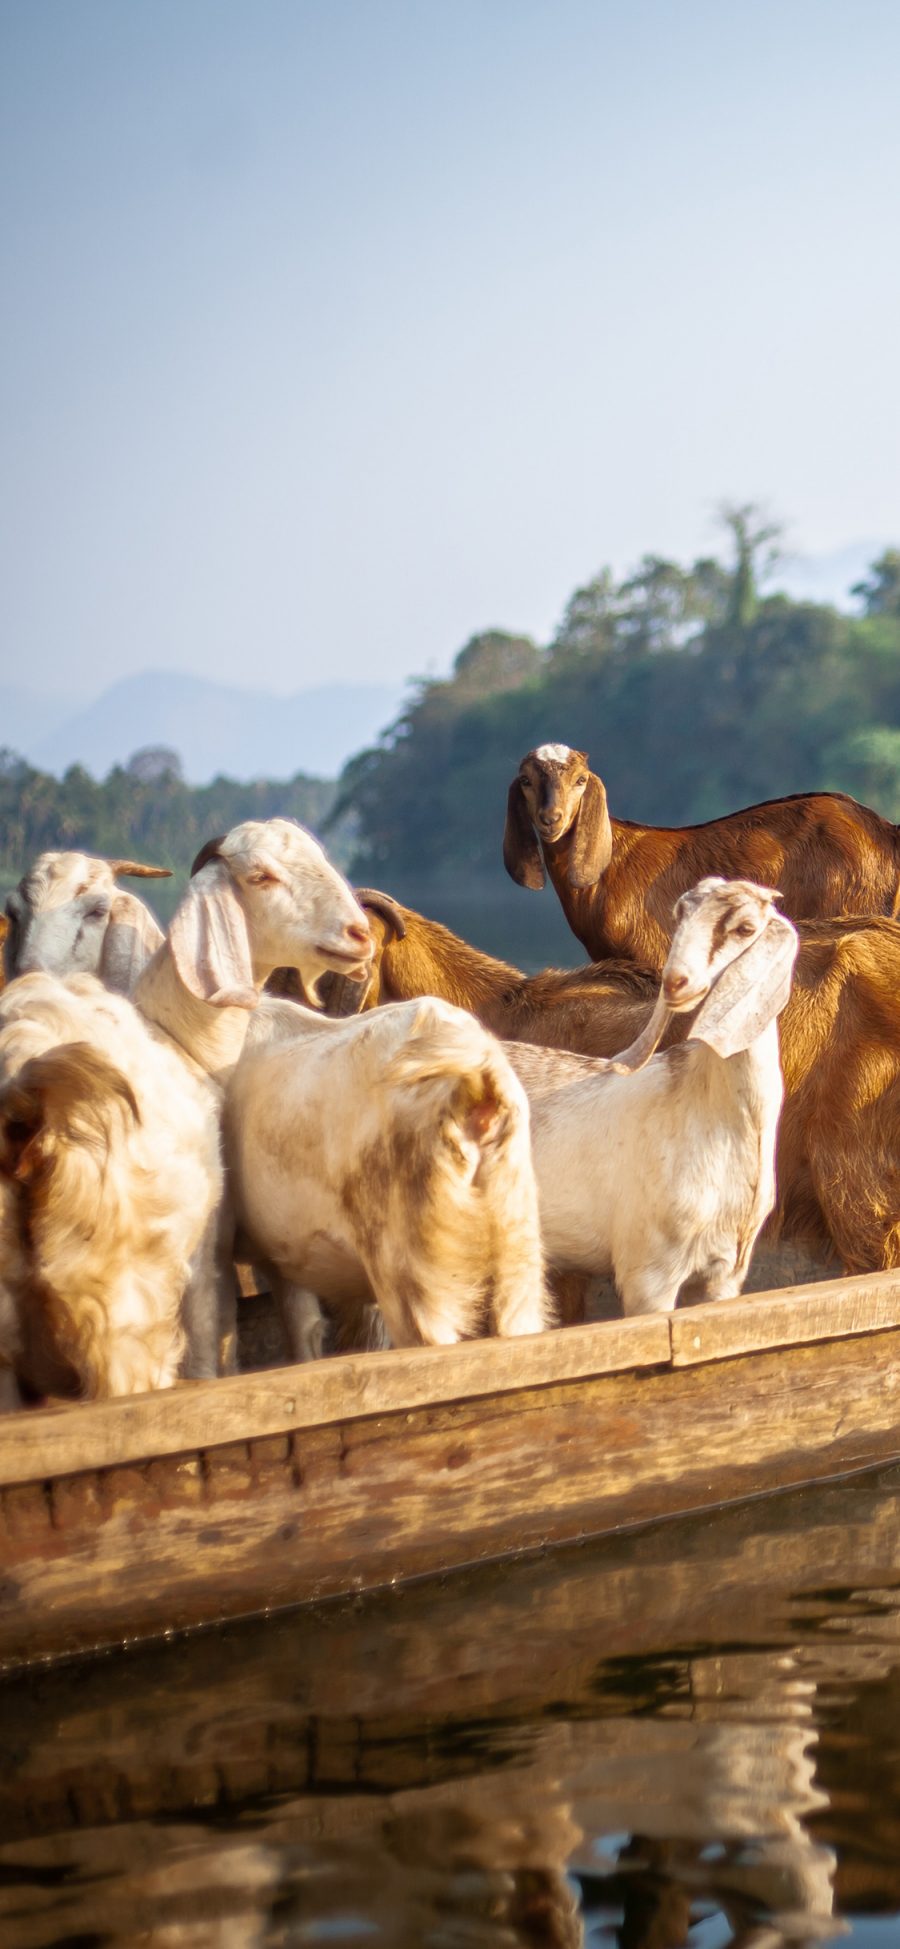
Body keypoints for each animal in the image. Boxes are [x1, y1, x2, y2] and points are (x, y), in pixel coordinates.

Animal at [135, 822, 549, 1356]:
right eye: (260, 875)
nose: (357, 933)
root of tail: (476, 1083)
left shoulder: (258, 1251)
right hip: (518, 1254)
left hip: (415, 1273)